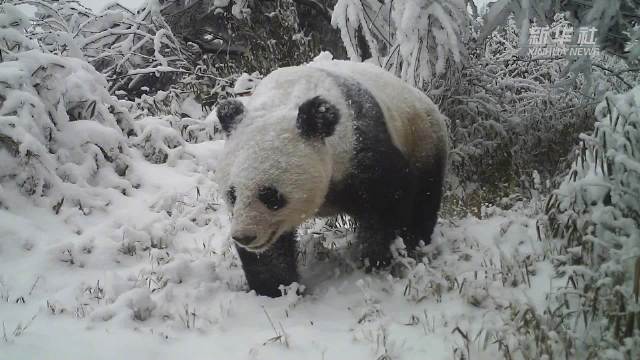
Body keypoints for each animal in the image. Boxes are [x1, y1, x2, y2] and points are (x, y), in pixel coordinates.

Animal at [215, 59, 450, 296]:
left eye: (270, 196)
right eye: (232, 195)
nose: (244, 236)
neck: (285, 99)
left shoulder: (360, 145)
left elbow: (387, 201)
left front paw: (374, 261)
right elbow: (271, 251)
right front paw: (276, 289)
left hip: (423, 138)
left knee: (424, 197)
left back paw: (417, 243)